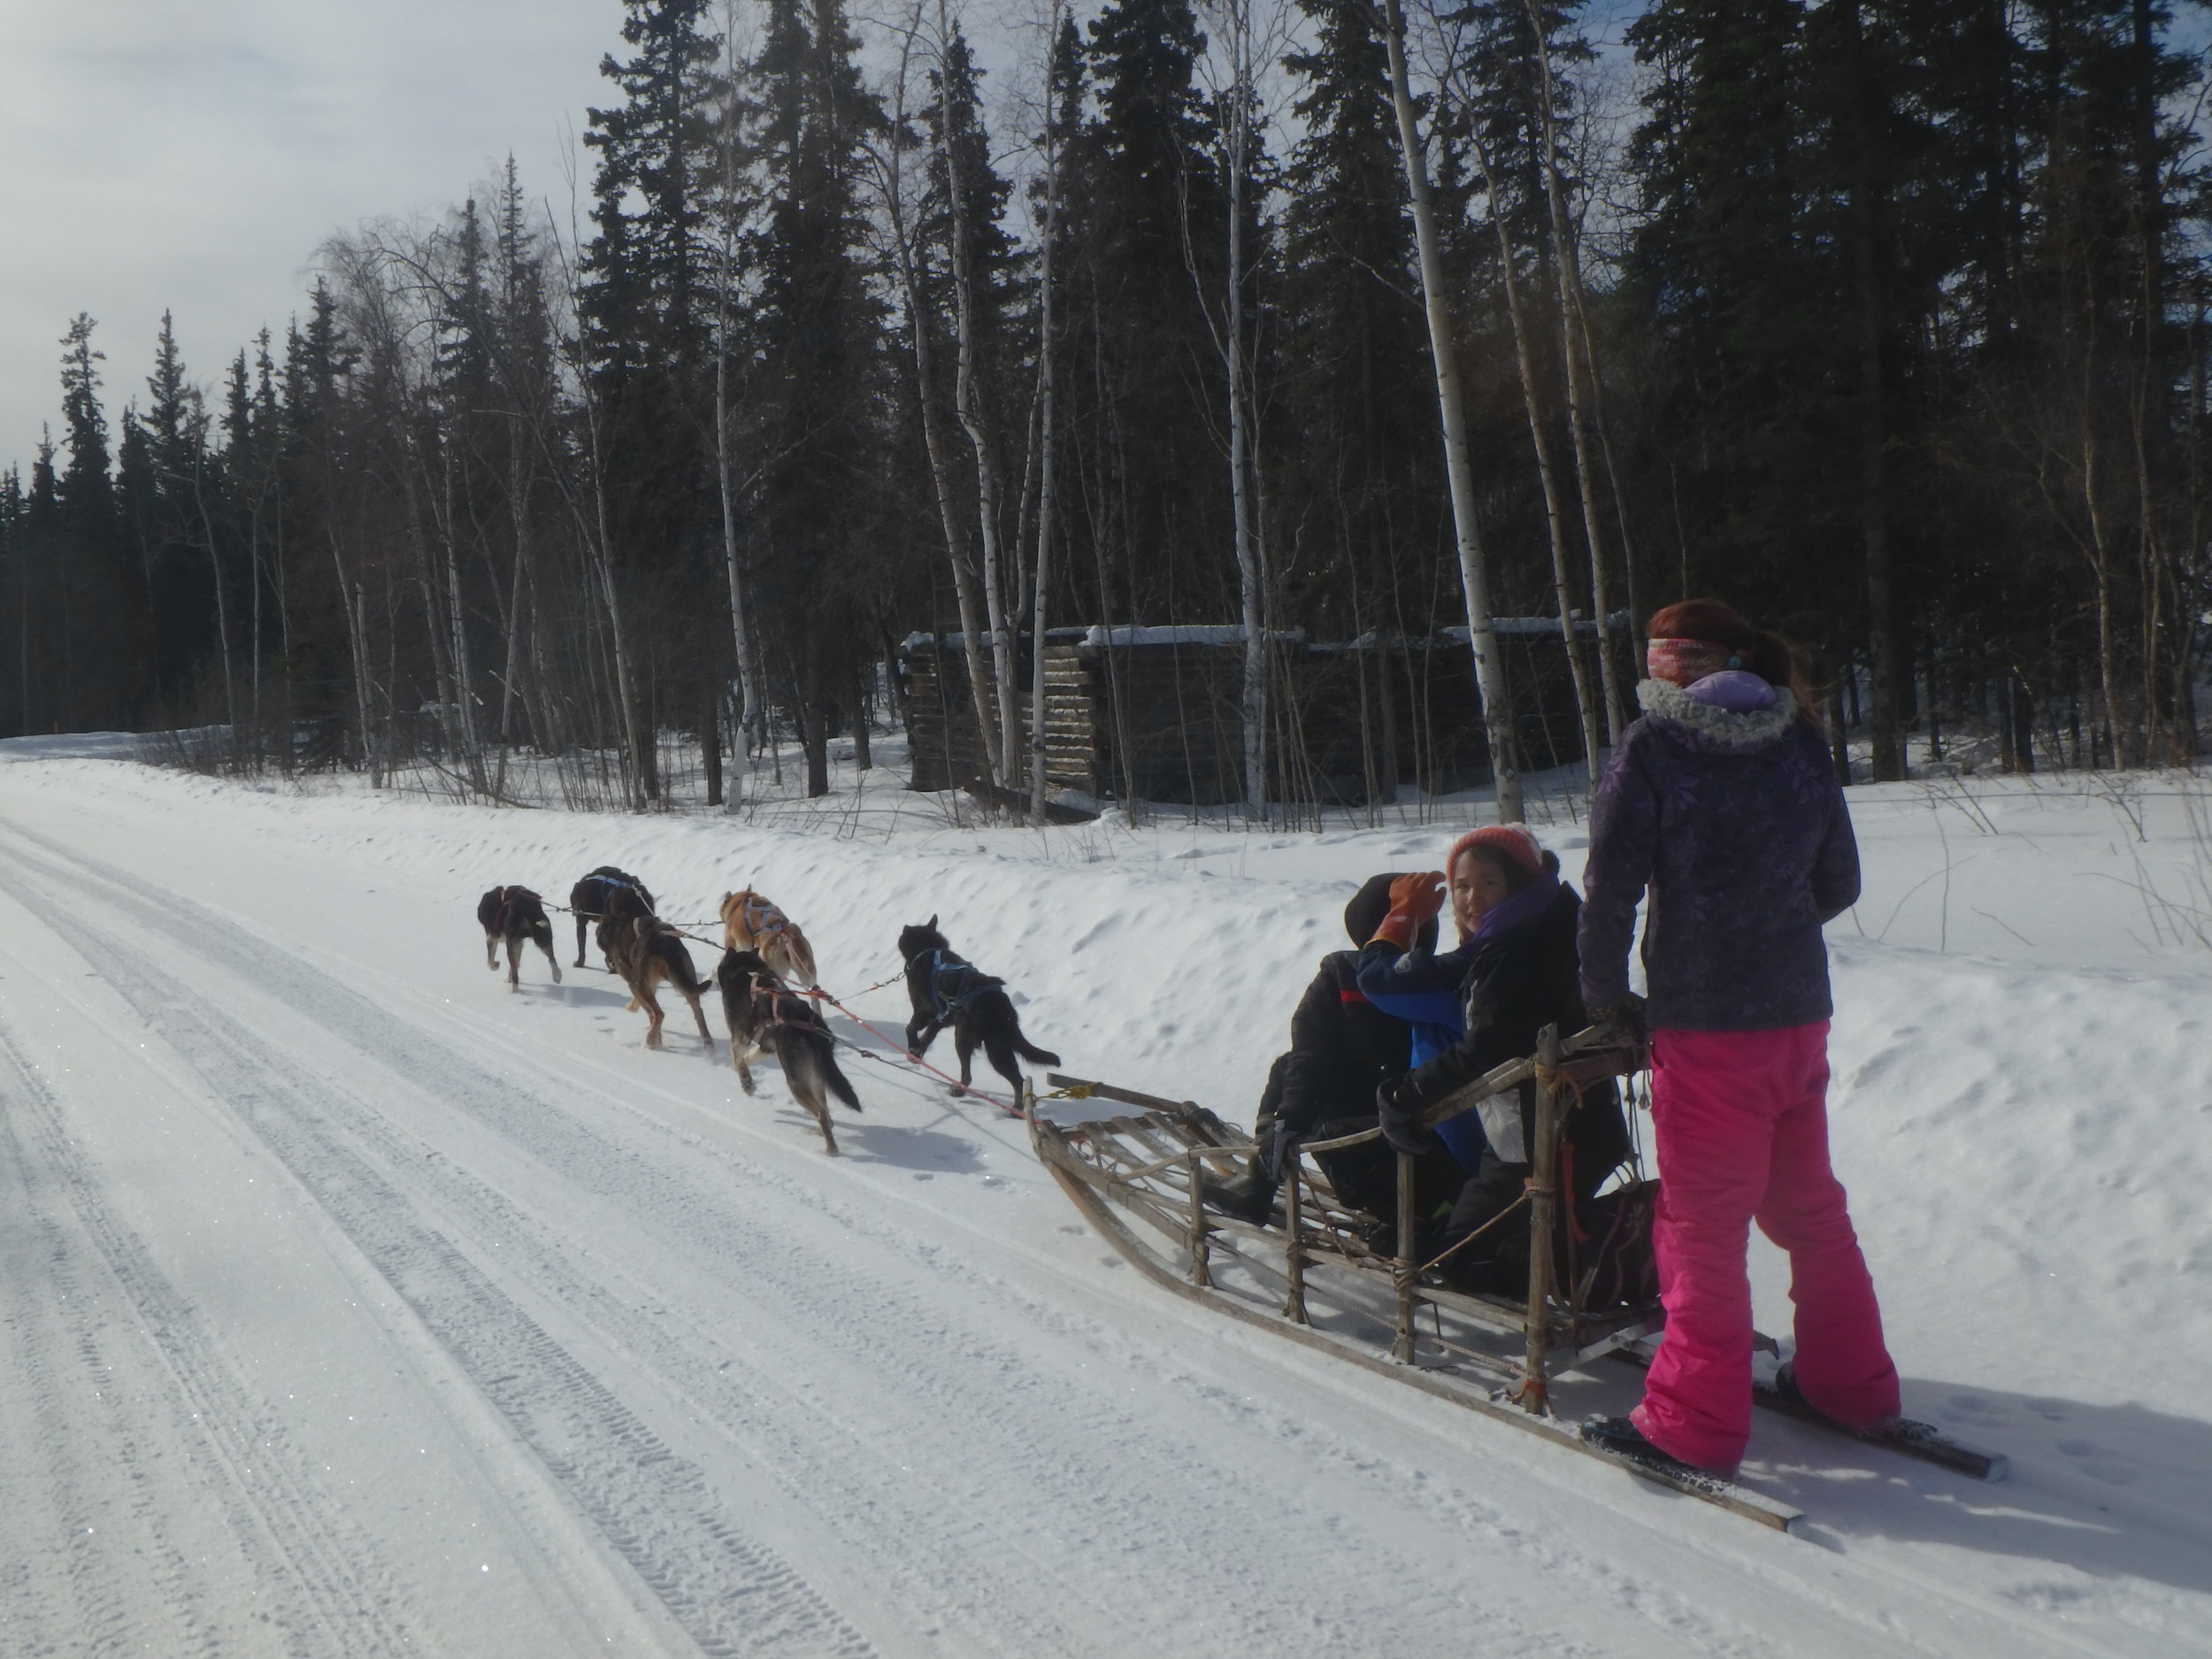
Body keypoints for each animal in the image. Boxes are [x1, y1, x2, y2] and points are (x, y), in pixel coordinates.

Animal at [593, 911, 712, 1053]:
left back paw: (650, 1040)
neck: (615, 925)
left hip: (640, 982)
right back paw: (708, 1043)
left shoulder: (633, 982)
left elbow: (649, 1011)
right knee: (698, 1011)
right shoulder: (650, 983)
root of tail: (663, 941)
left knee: (659, 1014)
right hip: (685, 979)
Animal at [726, 947, 863, 1159]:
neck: (745, 969)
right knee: (825, 1115)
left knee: (822, 1115)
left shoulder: (740, 1035)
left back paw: (830, 1151)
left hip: (796, 1083)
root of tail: (814, 1026)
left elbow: (738, 1057)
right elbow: (749, 1056)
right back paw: (819, 1132)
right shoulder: (768, 1046)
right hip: (813, 1078)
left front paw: (747, 1083)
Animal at [894, 925, 1057, 1106]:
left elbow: (910, 1029)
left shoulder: (923, 1012)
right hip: (998, 1046)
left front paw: (912, 1048)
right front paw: (916, 1054)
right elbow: (927, 1038)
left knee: (971, 1076)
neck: (928, 949)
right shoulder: (940, 1019)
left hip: (965, 1038)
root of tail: (1000, 1004)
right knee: (1016, 1078)